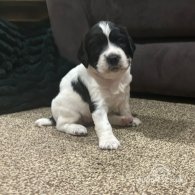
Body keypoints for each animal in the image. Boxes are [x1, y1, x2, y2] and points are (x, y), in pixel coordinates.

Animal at [35, 21, 141, 149]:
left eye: (120, 41)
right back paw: (76, 128)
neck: (111, 79)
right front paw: (108, 141)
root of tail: (53, 117)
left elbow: (126, 110)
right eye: (96, 46)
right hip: (70, 111)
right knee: (61, 125)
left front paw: (131, 118)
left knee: (110, 117)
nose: (113, 58)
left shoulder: (123, 98)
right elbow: (104, 124)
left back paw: (124, 120)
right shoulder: (97, 105)